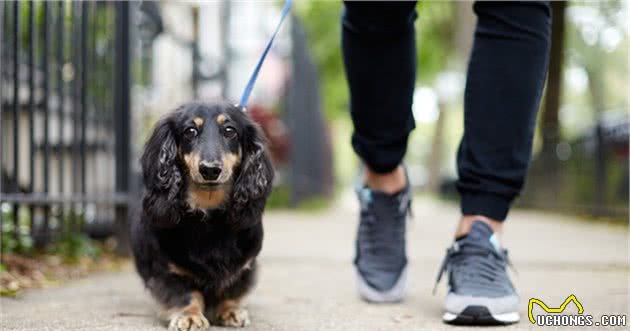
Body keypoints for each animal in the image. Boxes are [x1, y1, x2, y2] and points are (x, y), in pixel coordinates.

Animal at [131, 102, 274, 331]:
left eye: (230, 131)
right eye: (190, 131)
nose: (210, 170)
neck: (209, 213)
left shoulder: (244, 266)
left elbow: (231, 289)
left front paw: (230, 310)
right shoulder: (168, 269)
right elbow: (186, 294)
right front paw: (189, 316)